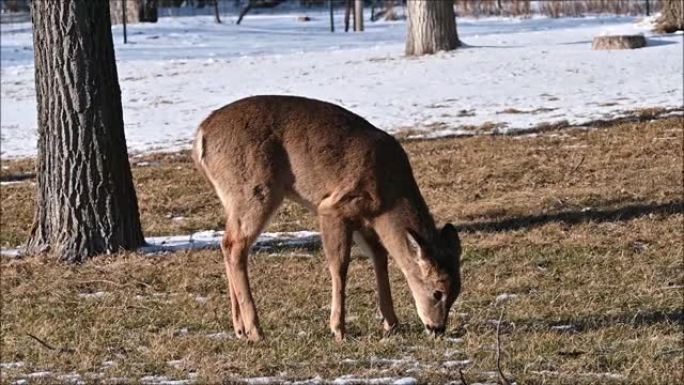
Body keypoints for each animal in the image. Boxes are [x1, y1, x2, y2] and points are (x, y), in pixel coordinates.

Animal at [192, 94, 460, 340]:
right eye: (437, 291)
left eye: (457, 291)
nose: (438, 329)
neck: (389, 196)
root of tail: (201, 135)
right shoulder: (334, 207)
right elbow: (339, 265)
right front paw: (338, 329)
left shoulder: (364, 220)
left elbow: (380, 256)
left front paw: (391, 322)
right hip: (255, 191)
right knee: (235, 245)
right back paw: (256, 330)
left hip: (236, 199)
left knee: (227, 243)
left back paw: (240, 328)